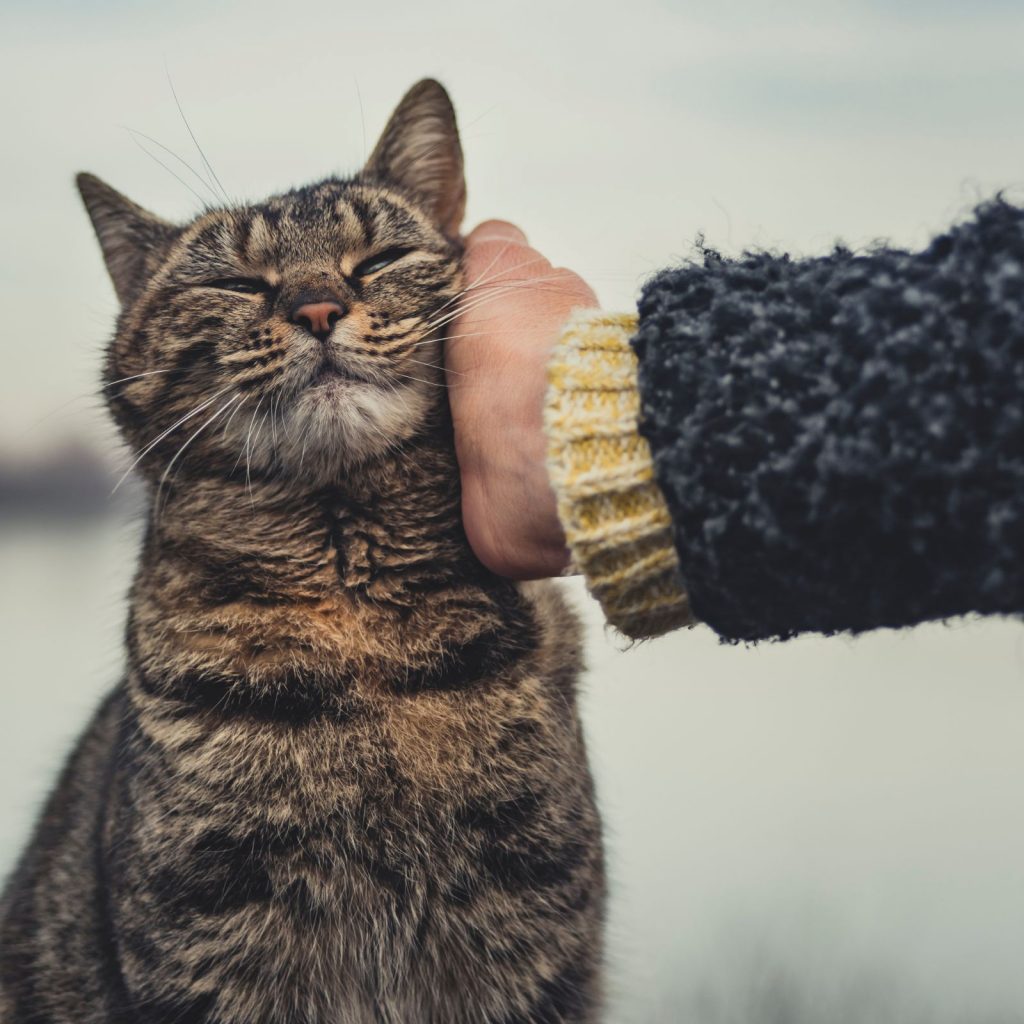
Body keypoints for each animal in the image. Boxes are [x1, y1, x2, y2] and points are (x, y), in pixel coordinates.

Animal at [0, 81, 602, 1024]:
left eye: (380, 256)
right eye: (234, 281)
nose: (317, 308)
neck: (355, 618)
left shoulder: (533, 944)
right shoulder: (214, 950)